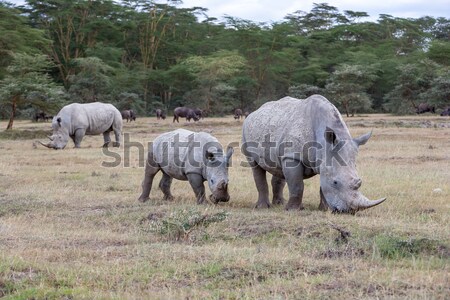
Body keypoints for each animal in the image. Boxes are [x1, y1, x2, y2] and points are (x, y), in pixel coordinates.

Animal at [243, 94, 386, 213]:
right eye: (335, 182)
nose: (350, 211)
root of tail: (255, 112)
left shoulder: (323, 160)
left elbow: (322, 186)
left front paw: (324, 209)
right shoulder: (293, 156)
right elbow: (297, 185)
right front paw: (293, 210)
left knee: (278, 166)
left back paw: (280, 204)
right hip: (246, 130)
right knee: (255, 165)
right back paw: (263, 207)